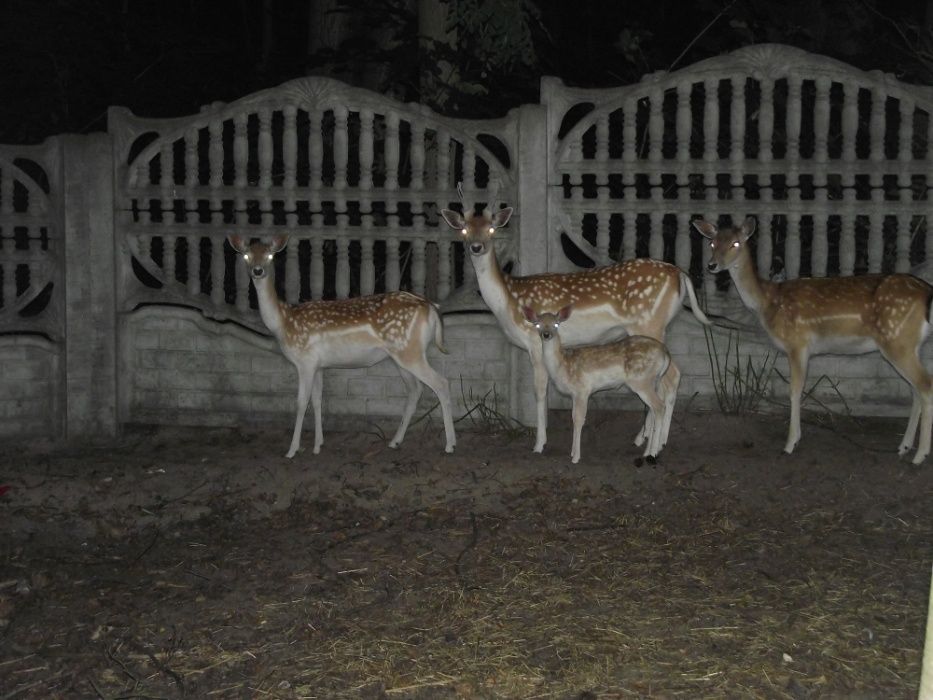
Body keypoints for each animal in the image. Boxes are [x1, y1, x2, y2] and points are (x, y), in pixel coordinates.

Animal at [228, 235, 456, 460]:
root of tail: (432, 307)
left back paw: (450, 445)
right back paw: (395, 441)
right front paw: (318, 445)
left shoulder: (305, 361)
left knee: (441, 383)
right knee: (415, 390)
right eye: (247, 255)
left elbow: (301, 403)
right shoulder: (318, 365)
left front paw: (292, 450)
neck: (283, 322)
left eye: (270, 255)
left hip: (410, 351)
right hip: (401, 355)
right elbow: (317, 400)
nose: (258, 271)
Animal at [520, 306, 672, 464]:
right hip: (654, 381)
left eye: (556, 324)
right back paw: (647, 451)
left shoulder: (582, 389)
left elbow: (578, 419)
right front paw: (572, 453)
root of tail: (666, 354)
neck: (562, 366)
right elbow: (574, 417)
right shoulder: (574, 394)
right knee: (654, 409)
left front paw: (575, 457)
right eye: (537, 324)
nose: (546, 334)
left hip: (642, 381)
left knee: (659, 407)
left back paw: (653, 453)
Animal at [692, 216, 932, 462]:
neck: (768, 302)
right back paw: (903, 447)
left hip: (897, 341)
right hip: (912, 345)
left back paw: (920, 455)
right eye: (712, 243)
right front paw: (795, 439)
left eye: (736, 244)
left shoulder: (797, 343)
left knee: (925, 385)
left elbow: (795, 391)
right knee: (915, 389)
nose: (712, 265)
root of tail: (927, 291)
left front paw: (790, 443)